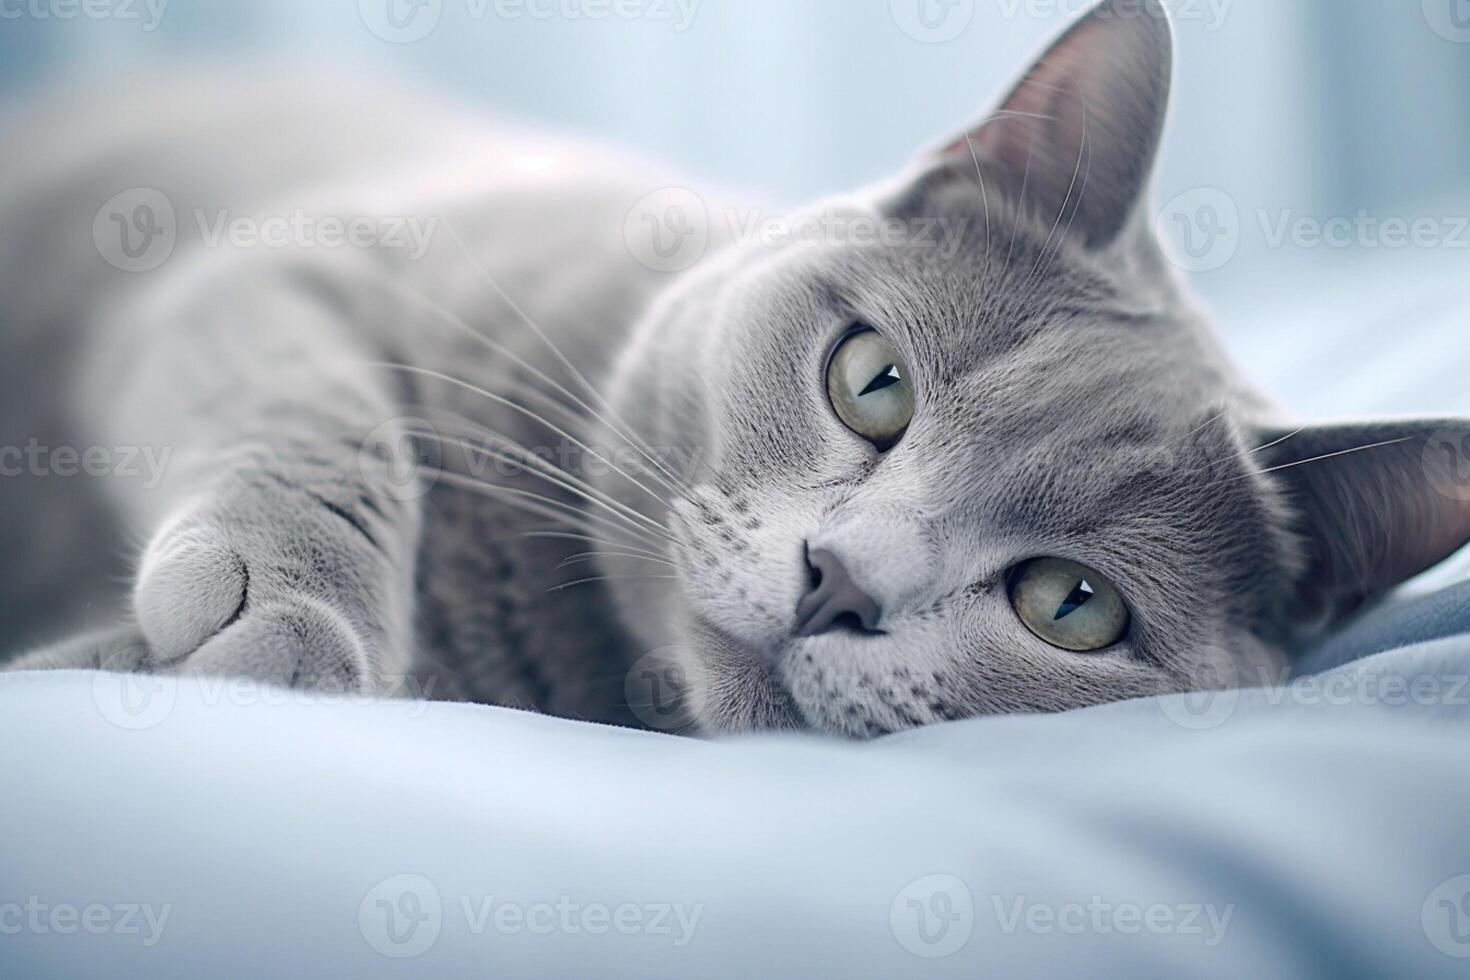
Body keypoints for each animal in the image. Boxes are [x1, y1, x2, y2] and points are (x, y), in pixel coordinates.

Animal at [2, 0, 1470, 734]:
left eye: (1070, 605)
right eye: (871, 383)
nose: (839, 581)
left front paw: (99, 663)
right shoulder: (287, 267)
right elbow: (320, 420)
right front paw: (295, 623)